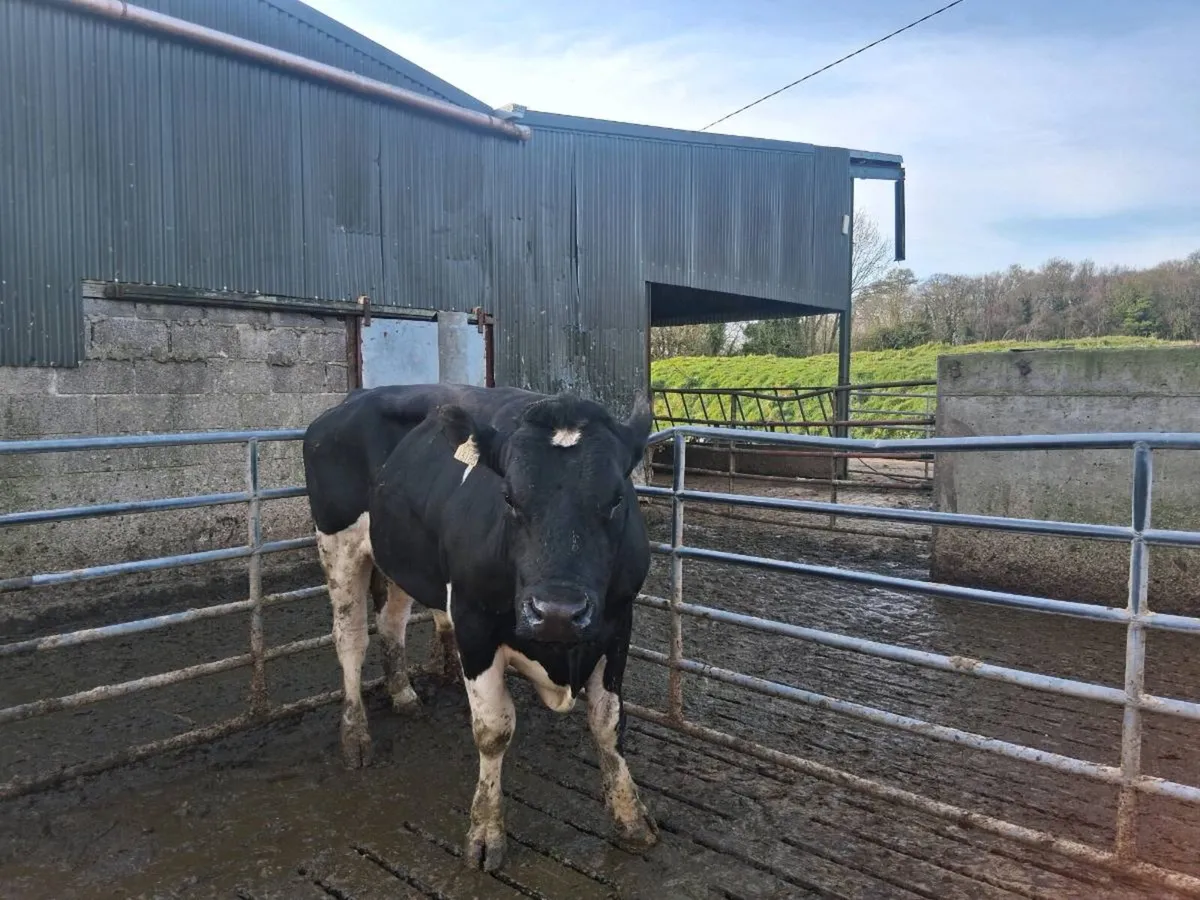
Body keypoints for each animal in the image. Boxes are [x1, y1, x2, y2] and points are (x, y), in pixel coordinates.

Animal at [302, 383, 660, 872]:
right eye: (508, 497)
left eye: (617, 498)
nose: (558, 611)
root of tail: (350, 400)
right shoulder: (472, 624)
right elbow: (493, 731)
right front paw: (487, 831)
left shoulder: (619, 622)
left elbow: (608, 723)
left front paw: (631, 817)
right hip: (336, 542)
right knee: (350, 639)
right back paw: (355, 733)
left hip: (401, 557)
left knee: (391, 622)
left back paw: (402, 693)